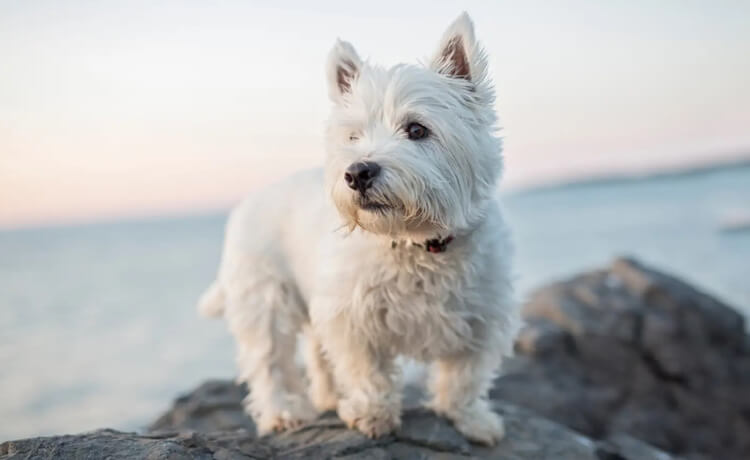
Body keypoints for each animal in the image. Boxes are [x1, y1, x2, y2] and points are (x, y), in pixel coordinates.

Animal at [197, 12, 520, 446]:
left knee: (314, 354)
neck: (414, 242)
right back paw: (284, 413)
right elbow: (366, 371)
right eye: (353, 136)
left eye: (417, 129)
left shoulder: (483, 316)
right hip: (265, 298)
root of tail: (248, 202)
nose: (357, 172)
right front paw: (372, 415)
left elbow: (465, 376)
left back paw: (329, 398)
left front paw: (471, 420)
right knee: (270, 360)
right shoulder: (350, 316)